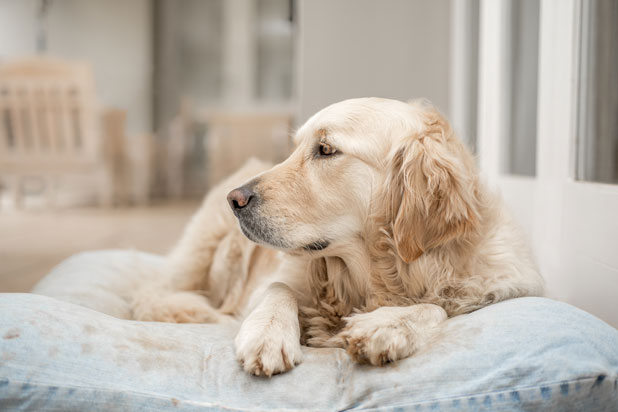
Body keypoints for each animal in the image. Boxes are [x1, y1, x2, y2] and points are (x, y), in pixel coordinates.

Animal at [132, 97, 540, 376]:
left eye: (326, 150)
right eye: (294, 148)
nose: (235, 199)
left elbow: (436, 306)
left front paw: (386, 325)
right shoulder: (279, 277)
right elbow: (277, 288)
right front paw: (267, 335)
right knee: (155, 296)